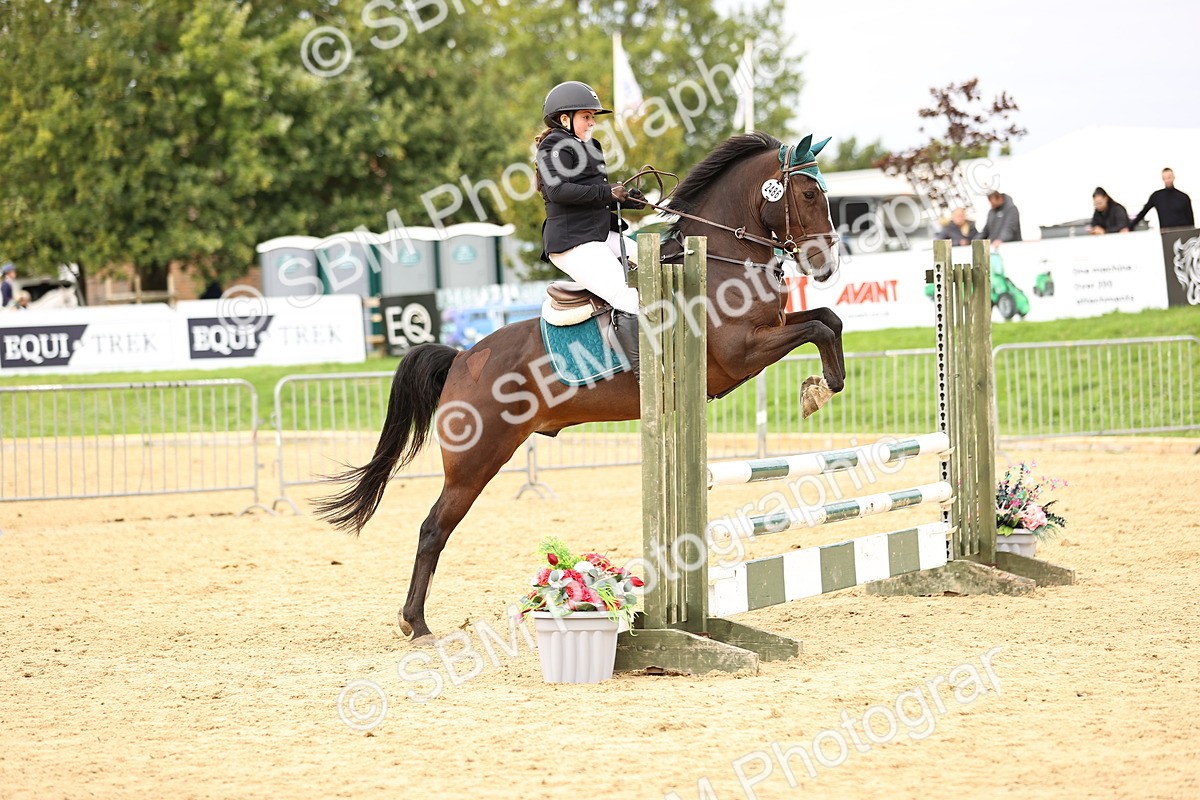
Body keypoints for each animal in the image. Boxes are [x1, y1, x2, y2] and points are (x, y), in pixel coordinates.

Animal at [316, 131, 847, 640]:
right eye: (806, 192)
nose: (825, 265)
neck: (721, 260)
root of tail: (462, 358)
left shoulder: (767, 333)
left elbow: (828, 319)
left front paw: (824, 382)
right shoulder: (742, 355)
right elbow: (817, 328)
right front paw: (820, 388)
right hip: (474, 464)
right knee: (432, 530)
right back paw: (417, 623)